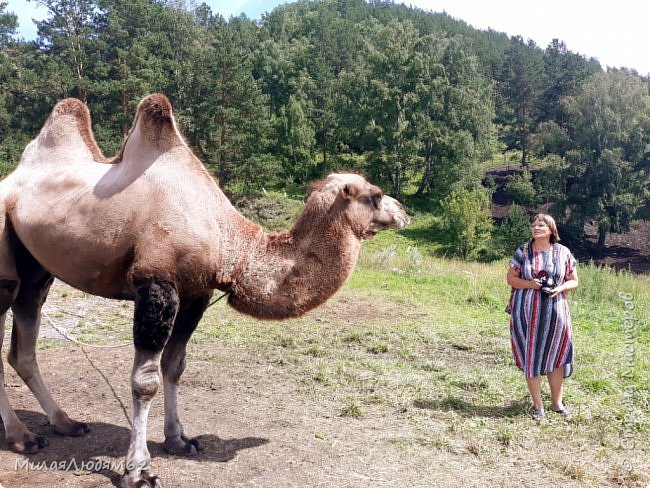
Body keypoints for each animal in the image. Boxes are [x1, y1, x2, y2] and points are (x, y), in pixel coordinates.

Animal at [0, 93, 408, 486]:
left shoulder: (196, 291)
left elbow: (174, 365)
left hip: (37, 268)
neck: (228, 243)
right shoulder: (156, 284)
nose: (404, 211)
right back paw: (22, 437)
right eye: (375, 194)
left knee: (24, 338)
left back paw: (65, 423)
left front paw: (179, 440)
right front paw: (139, 470)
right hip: (5, 258)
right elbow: (145, 381)